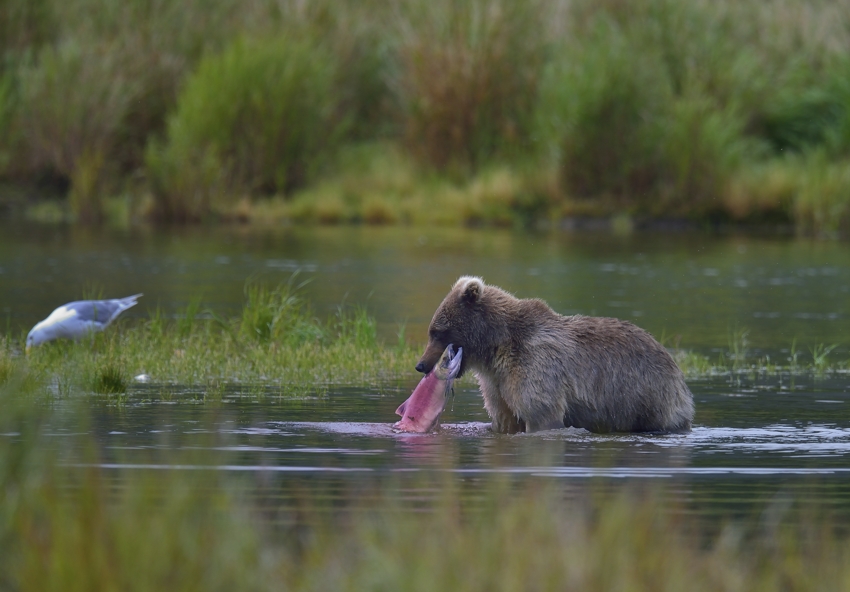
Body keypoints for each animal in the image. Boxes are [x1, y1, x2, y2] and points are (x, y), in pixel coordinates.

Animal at [414, 276, 692, 434]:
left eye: (437, 332)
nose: (421, 365)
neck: (495, 349)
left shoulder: (536, 366)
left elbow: (541, 413)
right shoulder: (498, 384)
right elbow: (504, 419)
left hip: (647, 395)